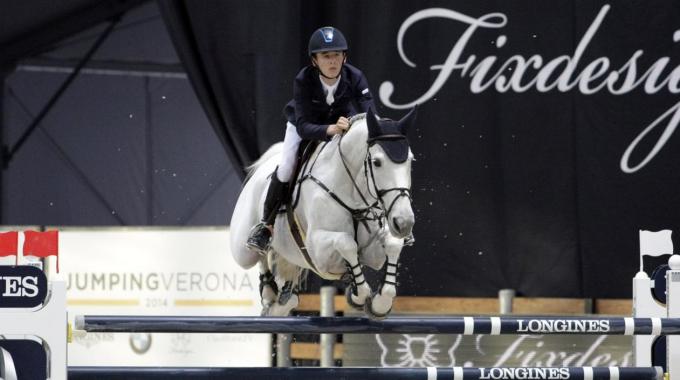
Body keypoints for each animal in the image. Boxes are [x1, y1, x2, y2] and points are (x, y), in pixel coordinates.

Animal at [231, 108, 418, 320]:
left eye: (410, 161)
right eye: (377, 162)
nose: (404, 223)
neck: (352, 194)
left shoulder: (373, 252)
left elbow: (393, 245)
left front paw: (380, 303)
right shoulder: (317, 249)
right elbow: (347, 243)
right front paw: (359, 295)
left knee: (289, 293)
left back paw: (278, 301)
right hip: (242, 251)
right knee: (259, 254)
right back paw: (267, 278)